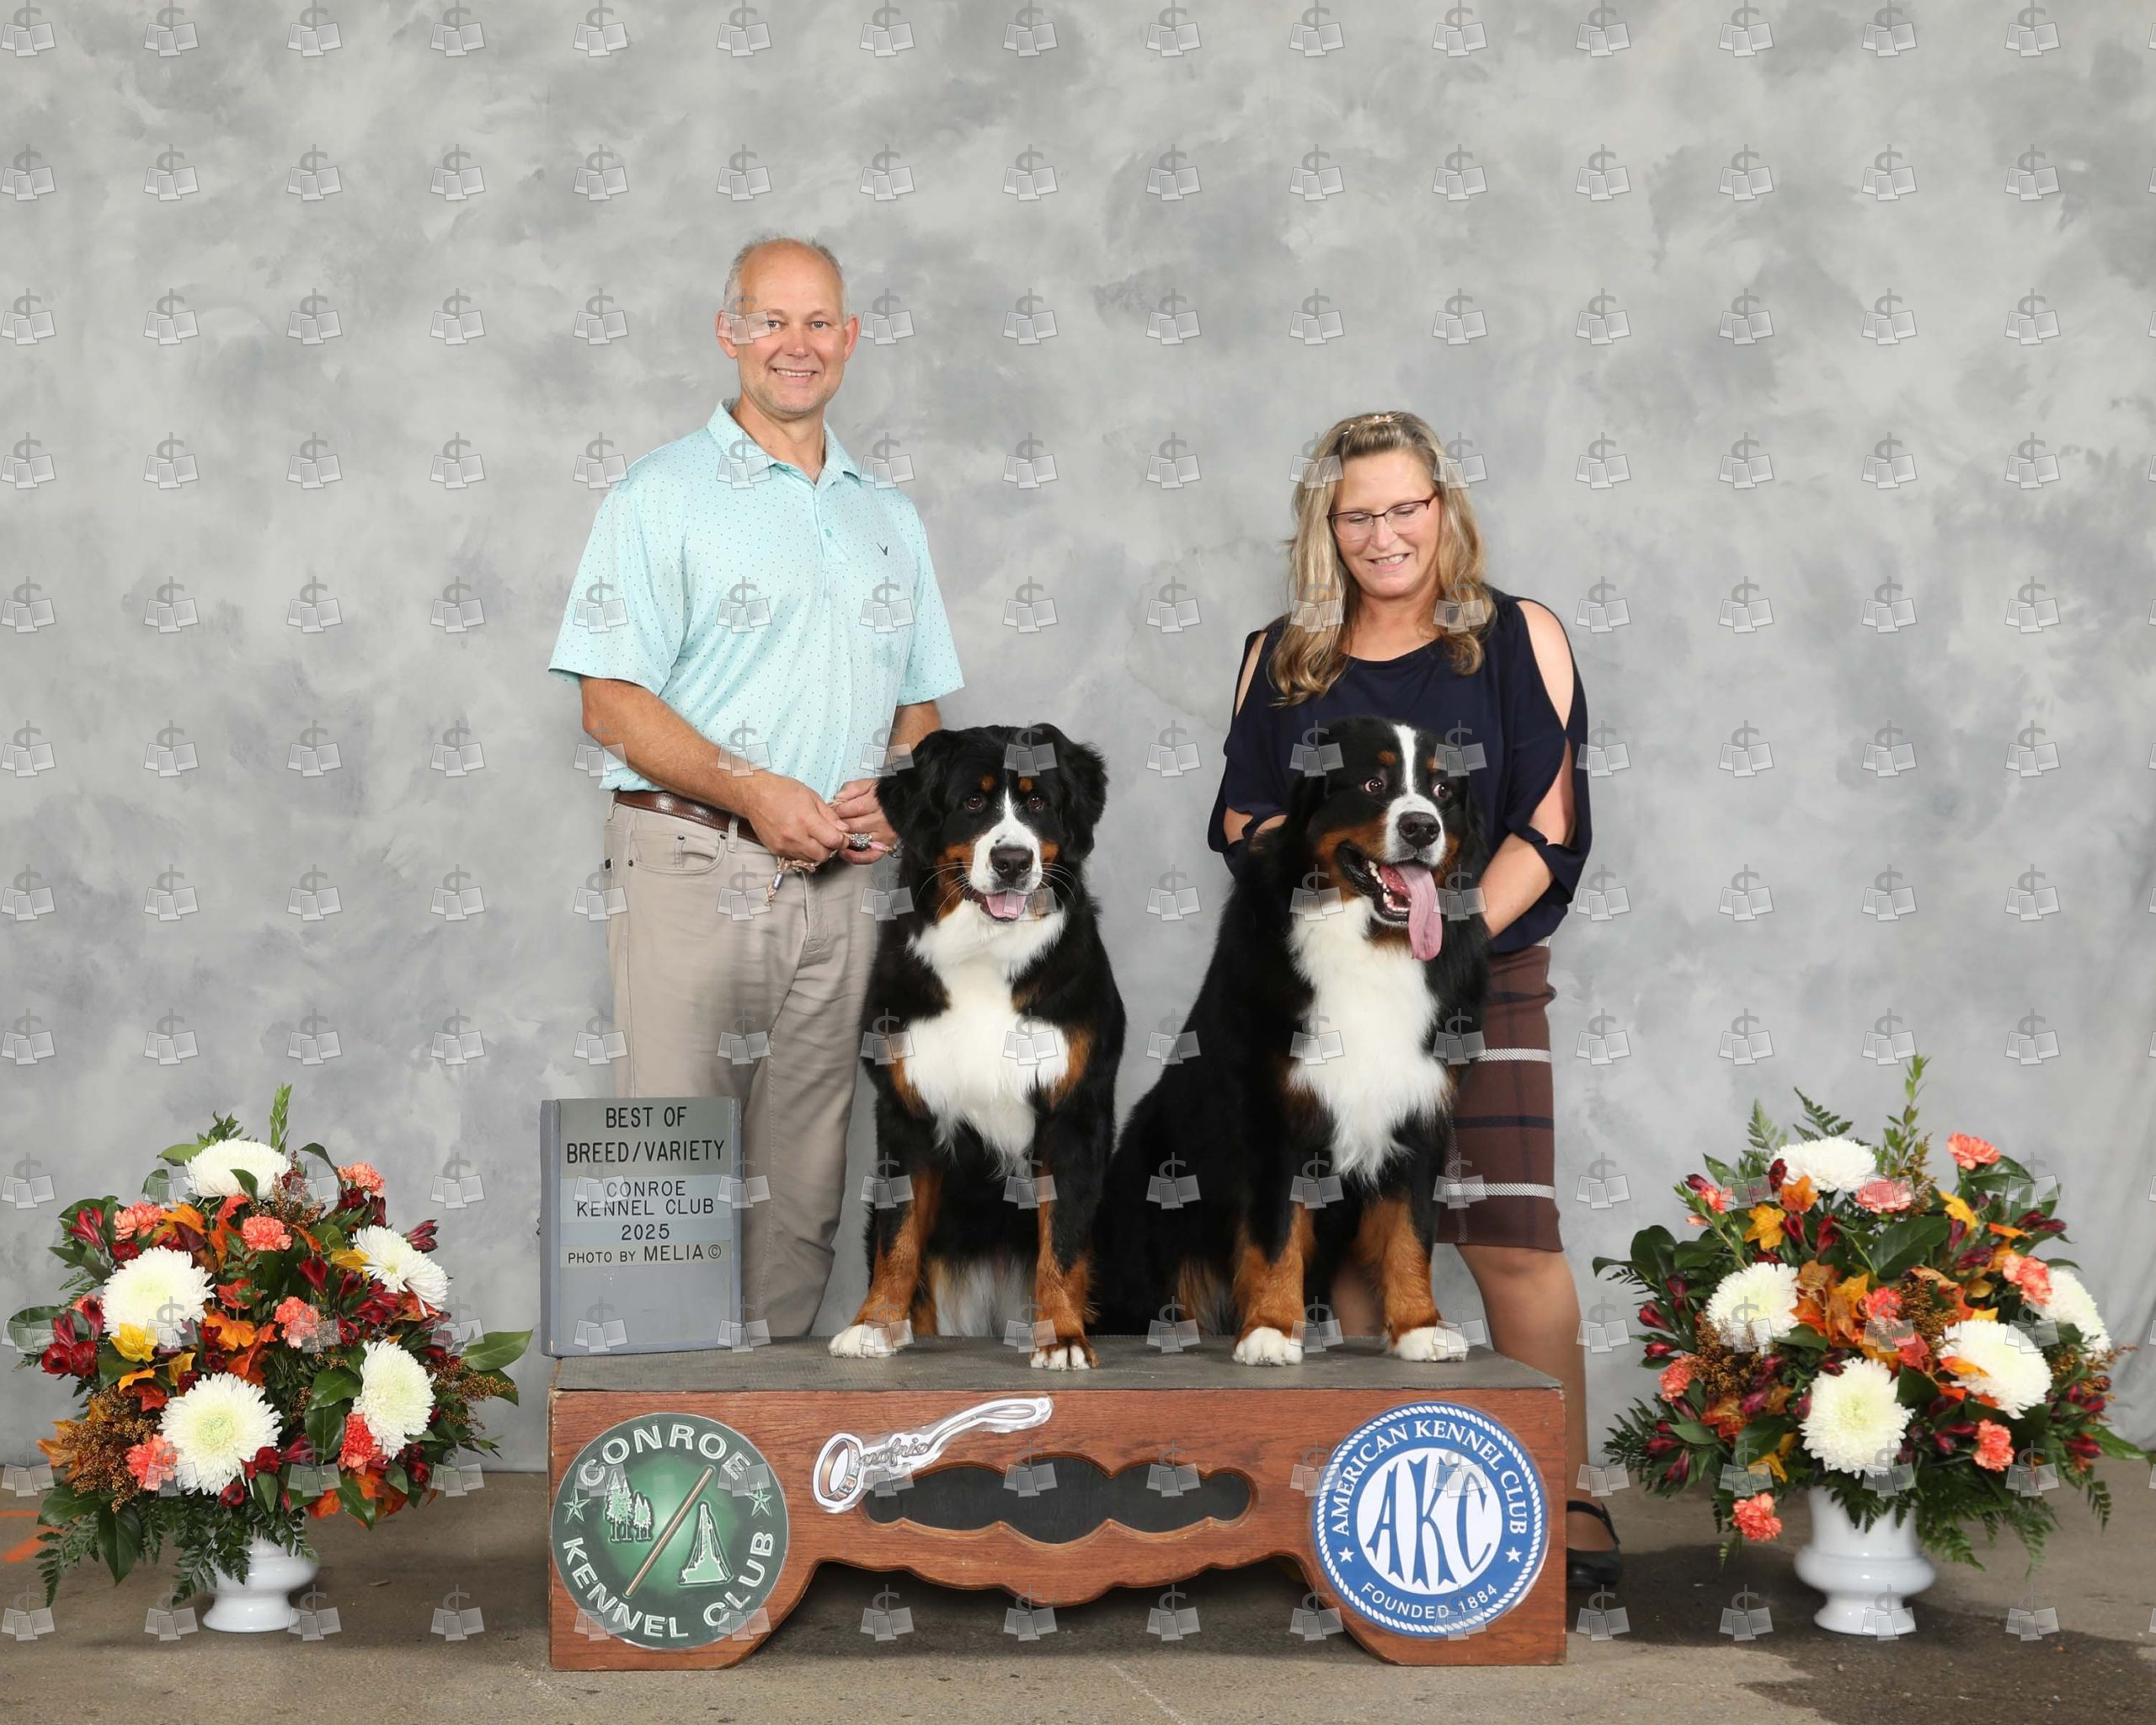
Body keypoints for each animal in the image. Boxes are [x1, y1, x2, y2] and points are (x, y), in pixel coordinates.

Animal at [829, 723, 1124, 1369]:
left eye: (1037, 803)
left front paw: (1063, 1337)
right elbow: (898, 1235)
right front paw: (874, 1325)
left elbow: (1063, 1240)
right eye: (971, 802)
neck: (987, 954)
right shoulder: (905, 1112)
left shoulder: (1073, 1113)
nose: (1012, 861)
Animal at [1095, 714, 1491, 1365]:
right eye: (1375, 782)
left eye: (1442, 792)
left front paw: (1421, 1328)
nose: (1421, 827)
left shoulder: (1420, 1112)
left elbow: (1411, 1233)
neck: (1371, 947)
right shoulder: (1275, 1114)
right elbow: (1277, 1232)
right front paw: (1271, 1331)